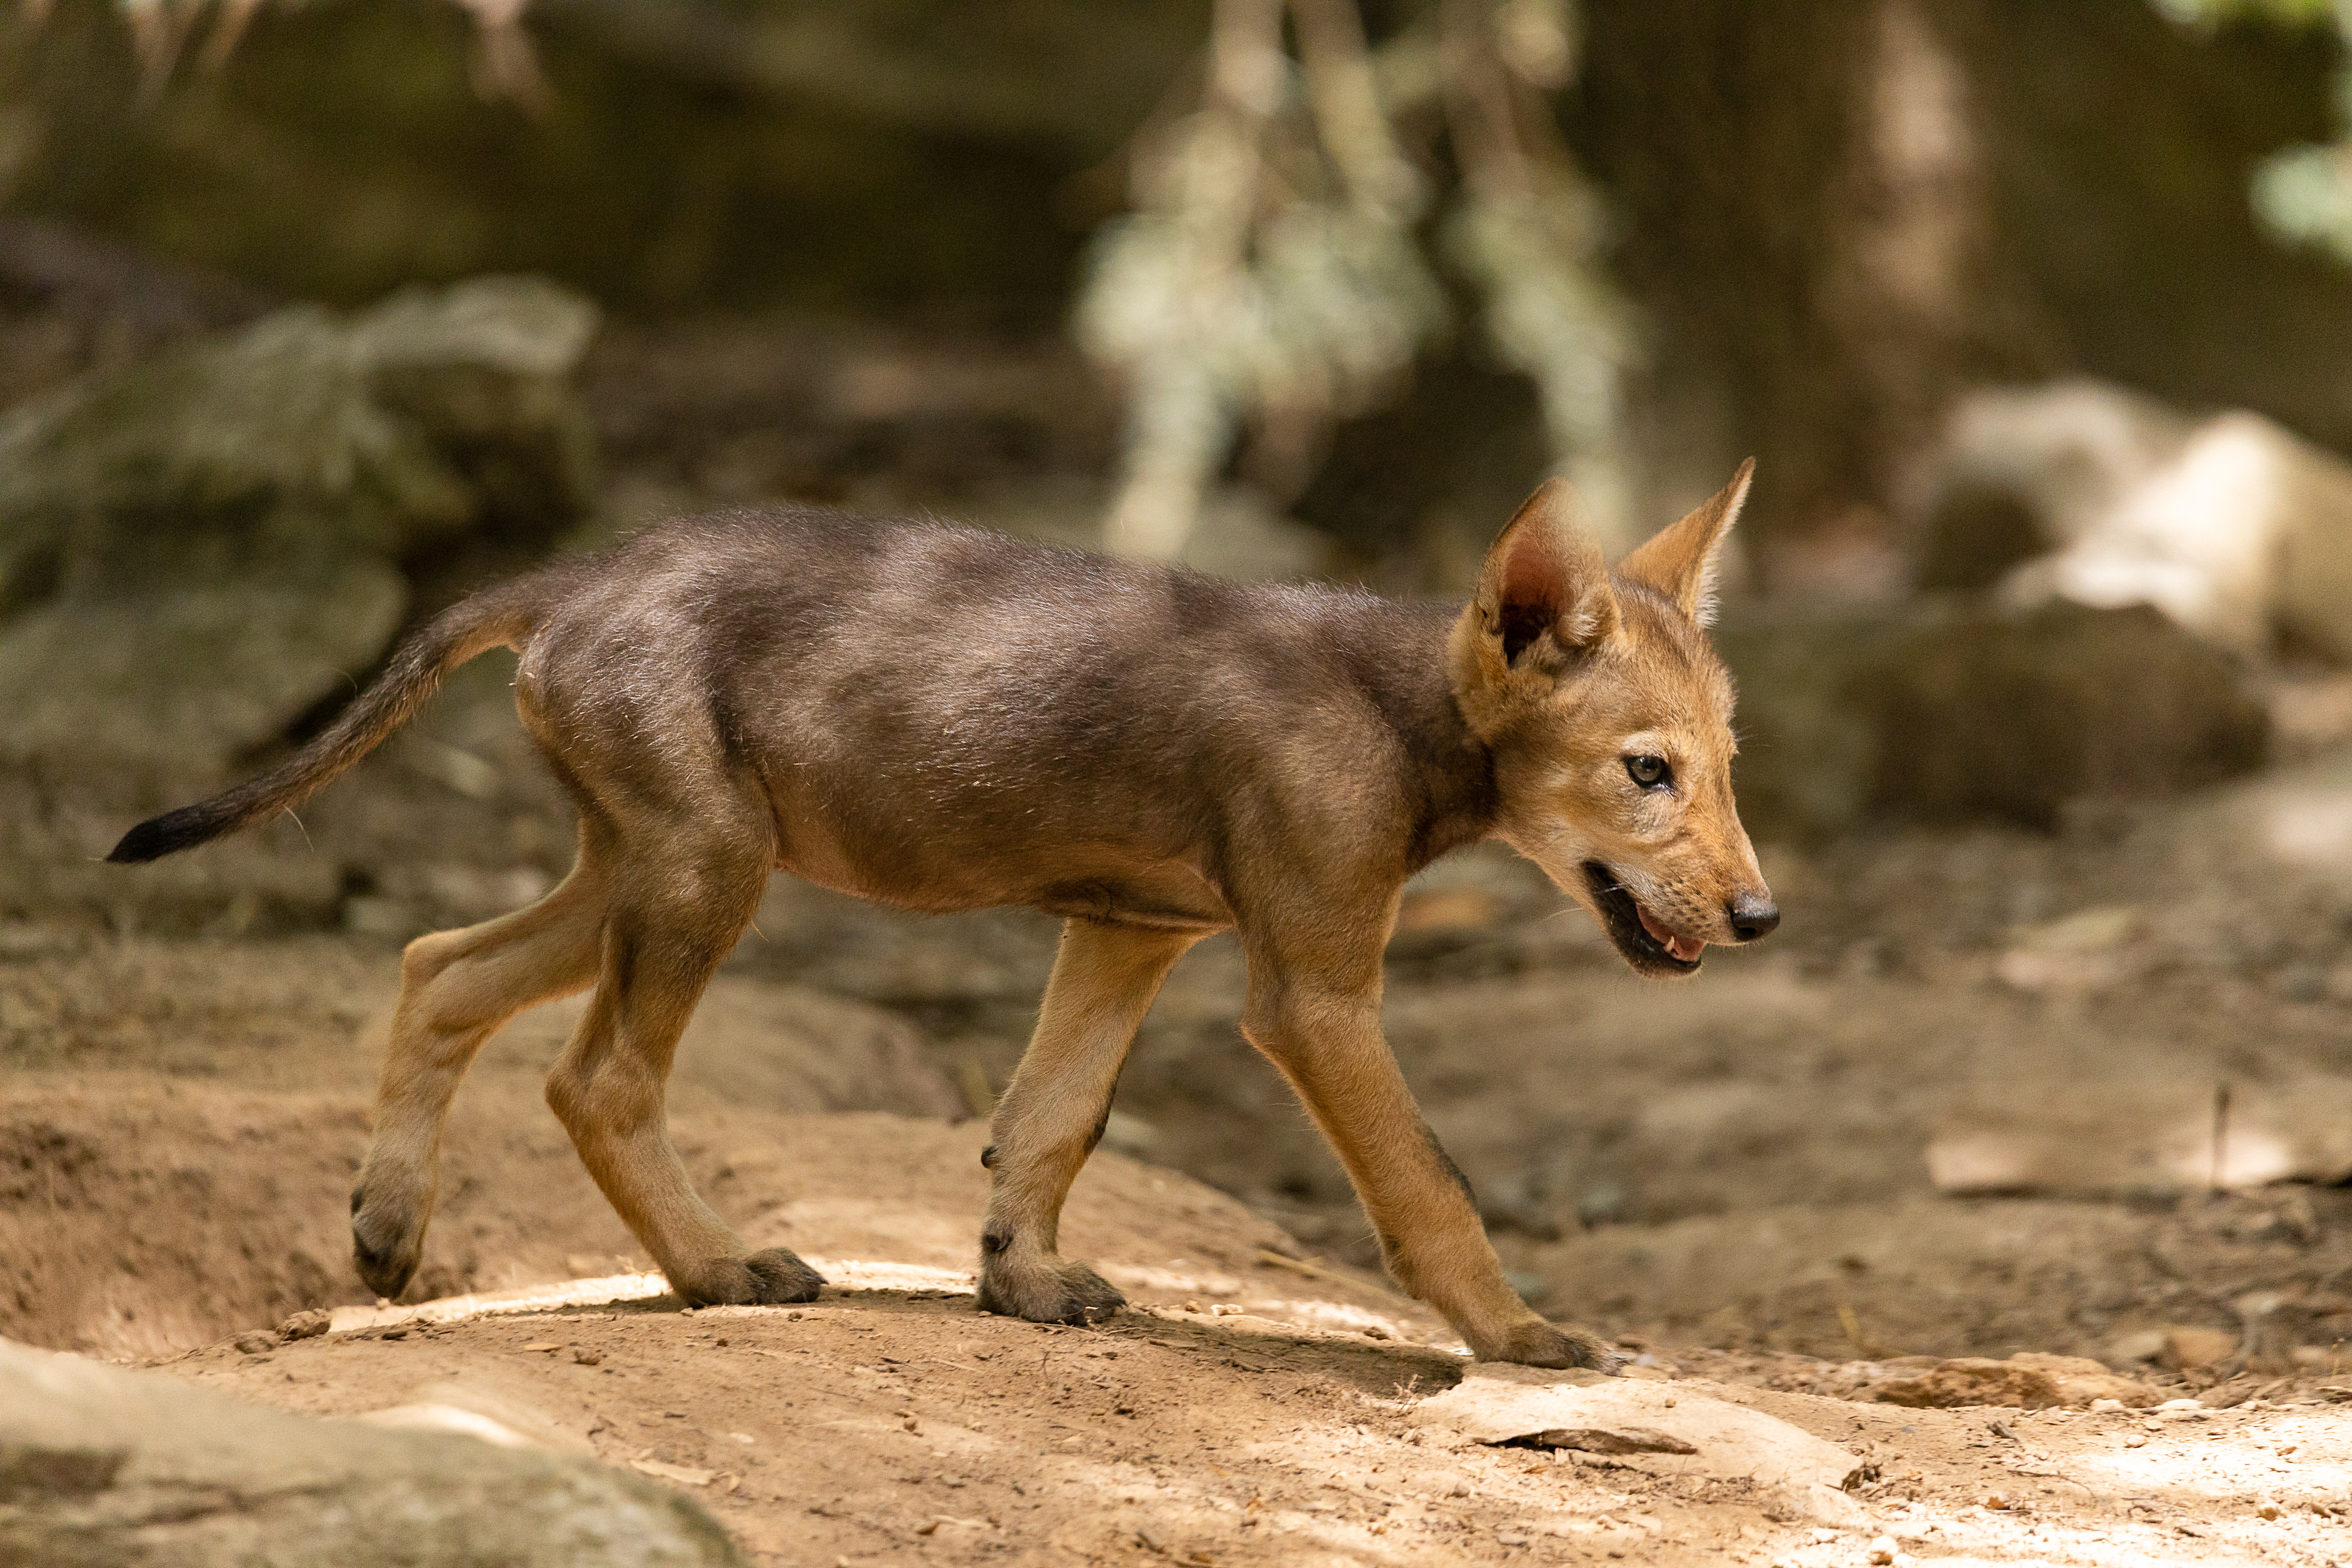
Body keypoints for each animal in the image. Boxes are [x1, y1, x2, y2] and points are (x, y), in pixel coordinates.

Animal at [111, 462, 1776, 1372]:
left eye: (1727, 766)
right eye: (1644, 773)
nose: (1760, 913)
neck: (1398, 708)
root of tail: (580, 571)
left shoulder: (1128, 932)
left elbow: (1046, 1122)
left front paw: (1017, 1281)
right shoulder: (1309, 994)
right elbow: (1430, 1186)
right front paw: (1519, 1339)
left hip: (636, 868)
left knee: (437, 964)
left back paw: (387, 1231)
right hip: (703, 871)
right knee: (595, 1077)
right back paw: (719, 1271)